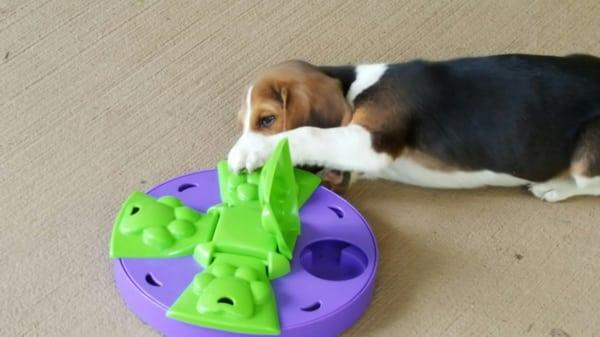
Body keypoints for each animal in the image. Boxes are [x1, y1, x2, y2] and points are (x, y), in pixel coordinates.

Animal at [226, 54, 600, 201]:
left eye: (267, 120)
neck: (353, 87)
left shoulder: (369, 143)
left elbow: (307, 133)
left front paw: (251, 151)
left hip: (586, 155)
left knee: (589, 185)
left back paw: (555, 188)